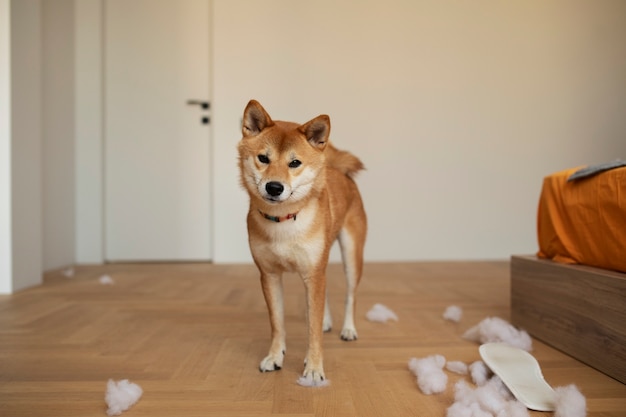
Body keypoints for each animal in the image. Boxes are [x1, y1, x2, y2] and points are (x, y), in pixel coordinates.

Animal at [238, 99, 366, 382]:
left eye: (294, 163)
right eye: (263, 158)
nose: (274, 187)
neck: (283, 221)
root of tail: (336, 169)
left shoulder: (313, 273)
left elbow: (313, 330)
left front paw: (314, 368)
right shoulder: (270, 275)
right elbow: (277, 324)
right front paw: (275, 357)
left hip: (351, 255)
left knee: (351, 295)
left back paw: (348, 329)